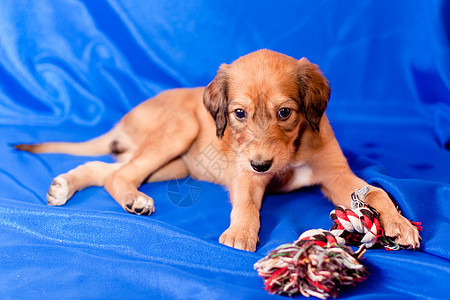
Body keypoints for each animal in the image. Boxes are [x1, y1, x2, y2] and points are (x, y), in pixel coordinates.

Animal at [14, 49, 422, 251]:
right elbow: (246, 205)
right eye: (239, 113)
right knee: (119, 174)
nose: (262, 164)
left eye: (285, 113)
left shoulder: (336, 174)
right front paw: (240, 234)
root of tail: (125, 118)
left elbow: (377, 192)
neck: (292, 150)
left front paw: (400, 224)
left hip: (174, 165)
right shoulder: (247, 175)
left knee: (108, 170)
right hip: (181, 130)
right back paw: (133, 199)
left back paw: (65, 186)